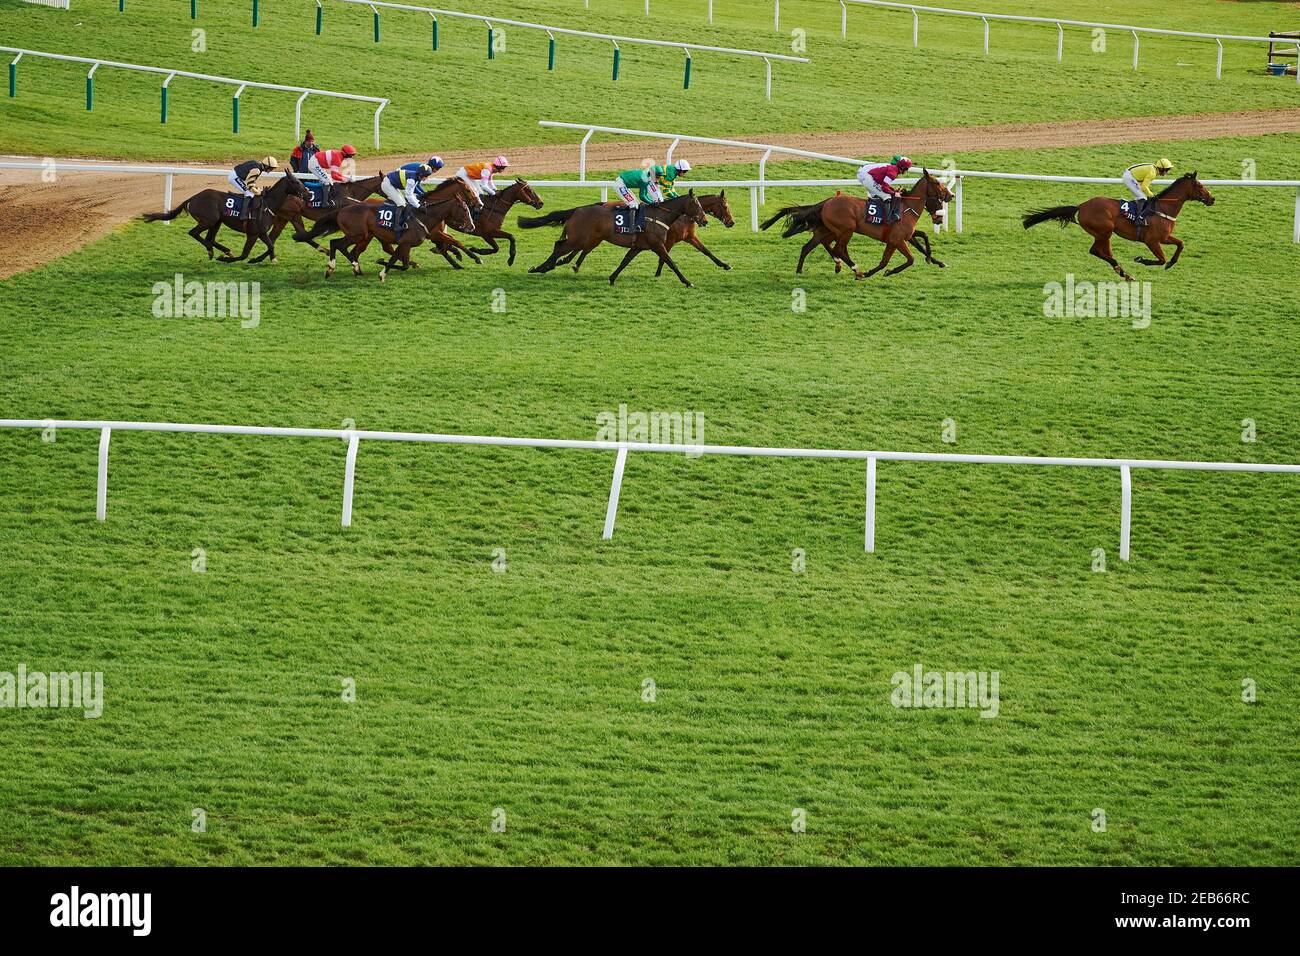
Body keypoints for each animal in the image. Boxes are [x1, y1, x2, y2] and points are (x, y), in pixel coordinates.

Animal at [141, 169, 312, 265]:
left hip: (217, 222)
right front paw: (230, 259)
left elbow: (271, 246)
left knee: (209, 238)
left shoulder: (261, 232)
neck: (267, 204)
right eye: (297, 182)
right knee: (194, 233)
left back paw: (223, 251)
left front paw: (265, 259)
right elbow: (244, 255)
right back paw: (212, 251)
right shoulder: (252, 233)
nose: (309, 194)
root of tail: (192, 198)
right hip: (209, 220)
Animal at [327, 195, 475, 282]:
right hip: (358, 235)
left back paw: (352, 269)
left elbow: (400, 262)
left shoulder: (407, 244)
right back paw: (339, 267)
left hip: (361, 236)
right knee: (338, 244)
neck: (424, 217)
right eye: (464, 209)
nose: (472, 226)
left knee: (344, 247)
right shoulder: (406, 242)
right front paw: (382, 271)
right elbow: (400, 262)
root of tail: (342, 210)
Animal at [522, 191, 712, 286]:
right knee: (559, 247)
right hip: (578, 238)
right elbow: (671, 263)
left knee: (561, 247)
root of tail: (577, 210)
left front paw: (612, 278)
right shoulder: (657, 245)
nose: (705, 220)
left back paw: (547, 267)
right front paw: (687, 282)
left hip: (584, 238)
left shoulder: (638, 246)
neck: (659, 216)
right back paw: (541, 268)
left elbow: (624, 261)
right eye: (696, 204)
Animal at [759, 167, 956, 278]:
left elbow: (922, 241)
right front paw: (882, 272)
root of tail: (826, 202)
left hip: (829, 230)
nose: (951, 195)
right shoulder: (898, 240)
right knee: (838, 249)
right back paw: (855, 269)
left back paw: (804, 270)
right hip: (846, 230)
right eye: (937, 183)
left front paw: (935, 261)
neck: (906, 207)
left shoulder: (902, 238)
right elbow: (909, 259)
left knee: (811, 246)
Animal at [1019, 171, 1211, 280]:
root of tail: (1082, 206)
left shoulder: (1164, 237)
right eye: (1200, 185)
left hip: (1104, 234)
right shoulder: (1152, 240)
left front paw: (1172, 262)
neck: (1163, 208)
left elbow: (1180, 244)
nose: (1212, 198)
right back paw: (1123, 271)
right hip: (1104, 231)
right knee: (1095, 251)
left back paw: (1123, 273)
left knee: (1104, 252)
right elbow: (1161, 259)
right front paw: (1141, 259)